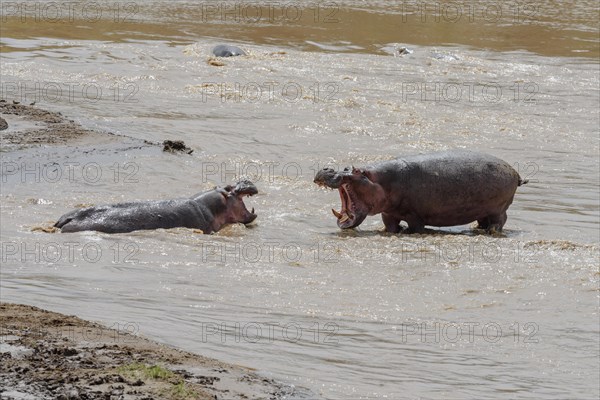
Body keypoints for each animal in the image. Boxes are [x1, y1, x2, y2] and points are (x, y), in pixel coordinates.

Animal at [314, 151, 528, 234]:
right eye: (347, 167)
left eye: (356, 171)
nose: (327, 169)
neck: (380, 180)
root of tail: (515, 172)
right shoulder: (388, 213)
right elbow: (390, 226)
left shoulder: (414, 215)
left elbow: (415, 227)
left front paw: (406, 232)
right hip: (483, 211)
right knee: (484, 221)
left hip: (498, 209)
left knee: (500, 221)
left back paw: (492, 231)